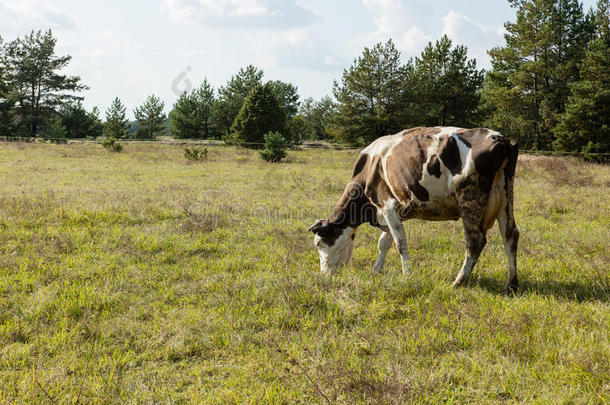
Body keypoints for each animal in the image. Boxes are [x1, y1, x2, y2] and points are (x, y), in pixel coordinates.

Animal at [308, 125, 516, 290]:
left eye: (319, 243)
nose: (323, 274)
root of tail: (501, 139)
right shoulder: (392, 212)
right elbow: (384, 243)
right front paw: (377, 270)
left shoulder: (387, 206)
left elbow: (400, 243)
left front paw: (406, 274)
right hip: (505, 195)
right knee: (510, 235)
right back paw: (511, 284)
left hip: (470, 198)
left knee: (475, 241)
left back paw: (458, 281)